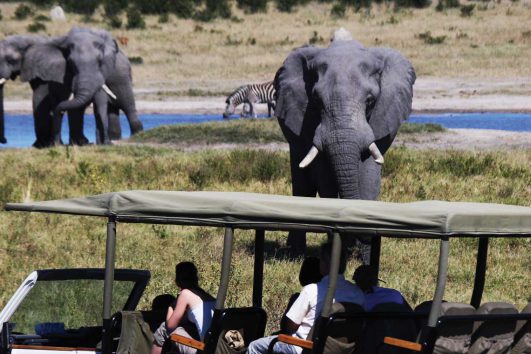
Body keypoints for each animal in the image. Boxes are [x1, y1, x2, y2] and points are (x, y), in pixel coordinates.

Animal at [276, 40, 418, 258]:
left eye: (370, 101)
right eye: (316, 100)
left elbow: (369, 175)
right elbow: (326, 177)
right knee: (303, 184)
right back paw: (296, 253)